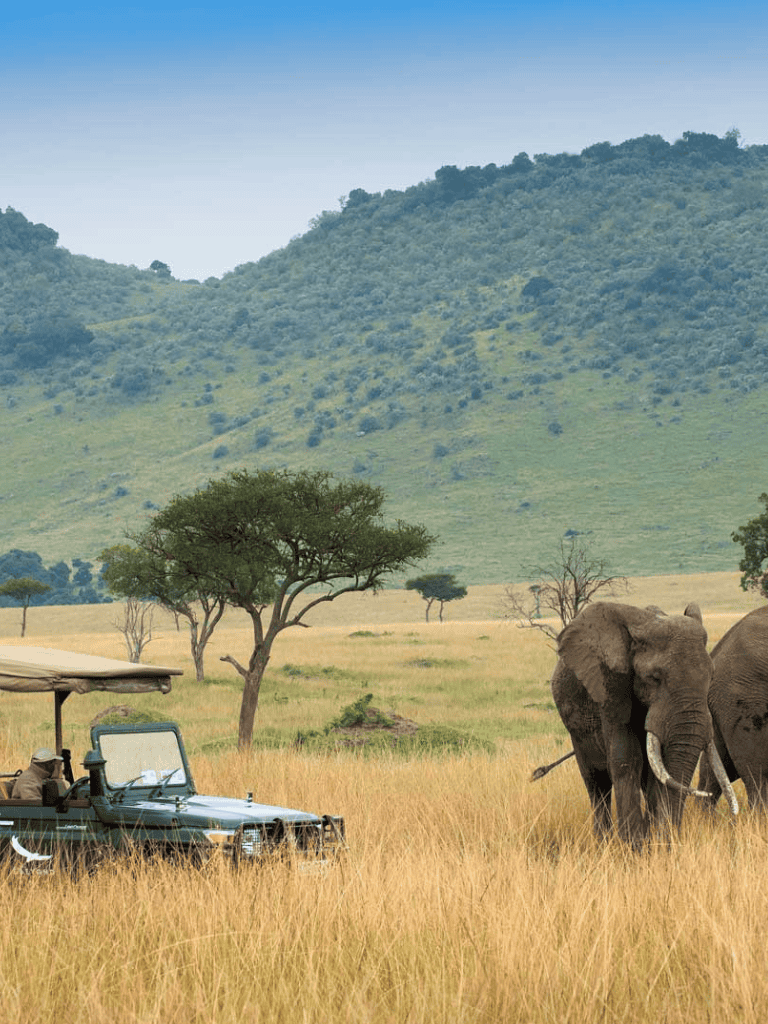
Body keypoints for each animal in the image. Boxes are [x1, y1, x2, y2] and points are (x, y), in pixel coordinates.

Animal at [550, 601, 737, 848]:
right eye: (654, 678)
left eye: (711, 677)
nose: (670, 840)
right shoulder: (611, 686)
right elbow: (627, 758)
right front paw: (634, 848)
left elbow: (658, 768)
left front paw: (653, 845)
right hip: (576, 729)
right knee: (596, 784)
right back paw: (603, 843)